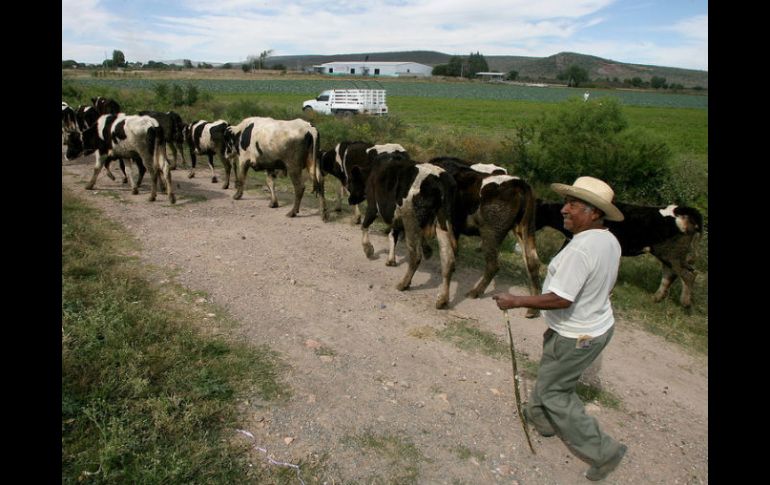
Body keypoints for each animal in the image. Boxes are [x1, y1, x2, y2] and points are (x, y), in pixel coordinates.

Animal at [346, 153, 456, 308]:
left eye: (350, 182)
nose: (350, 200)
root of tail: (440, 180)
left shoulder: (373, 205)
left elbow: (365, 225)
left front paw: (368, 249)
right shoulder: (396, 216)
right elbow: (393, 235)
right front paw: (391, 259)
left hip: (411, 219)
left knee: (415, 255)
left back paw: (403, 284)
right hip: (443, 223)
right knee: (448, 259)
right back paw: (442, 300)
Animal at [426, 156, 540, 318]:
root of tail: (519, 183)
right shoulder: (455, 227)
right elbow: (454, 251)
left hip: (490, 233)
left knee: (493, 265)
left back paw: (475, 291)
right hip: (525, 229)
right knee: (533, 262)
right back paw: (532, 309)